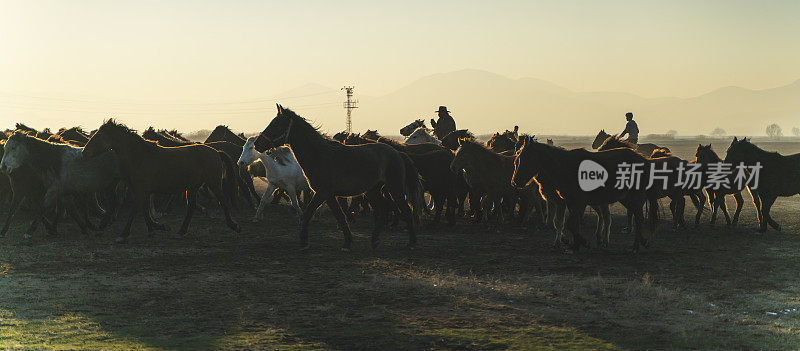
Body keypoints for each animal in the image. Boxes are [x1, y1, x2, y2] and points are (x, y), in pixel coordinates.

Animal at [84, 119, 242, 243]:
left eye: (98, 136)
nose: (84, 152)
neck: (139, 157)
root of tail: (215, 152)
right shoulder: (141, 190)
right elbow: (144, 210)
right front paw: (156, 228)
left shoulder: (141, 190)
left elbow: (136, 210)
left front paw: (123, 234)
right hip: (192, 187)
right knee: (191, 207)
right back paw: (181, 232)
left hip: (213, 183)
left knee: (223, 201)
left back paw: (234, 225)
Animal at [255, 104, 424, 250]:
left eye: (276, 124)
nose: (257, 144)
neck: (319, 155)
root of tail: (398, 153)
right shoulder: (327, 195)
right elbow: (334, 216)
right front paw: (346, 242)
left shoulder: (324, 193)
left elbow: (317, 213)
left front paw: (305, 242)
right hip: (373, 191)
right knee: (382, 211)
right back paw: (375, 240)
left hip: (395, 189)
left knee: (406, 210)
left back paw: (412, 242)